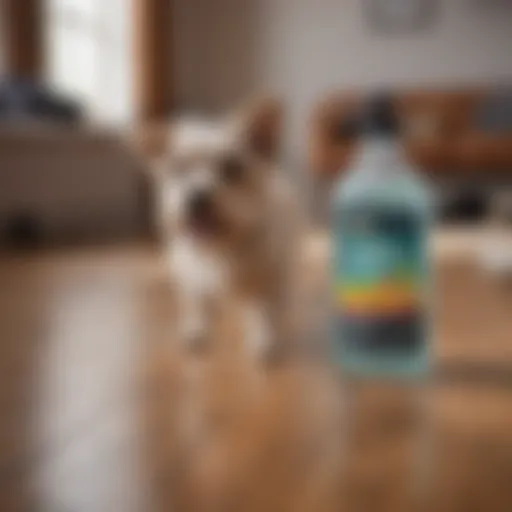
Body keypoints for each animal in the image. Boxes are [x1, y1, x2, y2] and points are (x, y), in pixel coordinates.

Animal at [154, 99, 302, 356]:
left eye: (232, 168)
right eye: (179, 169)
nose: (197, 198)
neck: (222, 246)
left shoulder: (270, 278)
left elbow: (267, 309)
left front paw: (265, 337)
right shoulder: (191, 274)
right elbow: (196, 301)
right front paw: (197, 327)